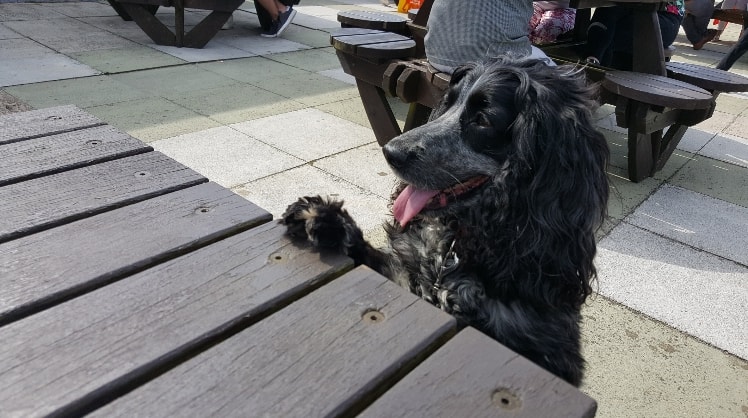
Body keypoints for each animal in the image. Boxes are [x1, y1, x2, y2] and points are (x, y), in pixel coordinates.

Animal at [280, 56, 609, 386]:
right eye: (447, 104)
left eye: (483, 120)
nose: (390, 152)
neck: (454, 248)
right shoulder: (404, 274)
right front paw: (322, 217)